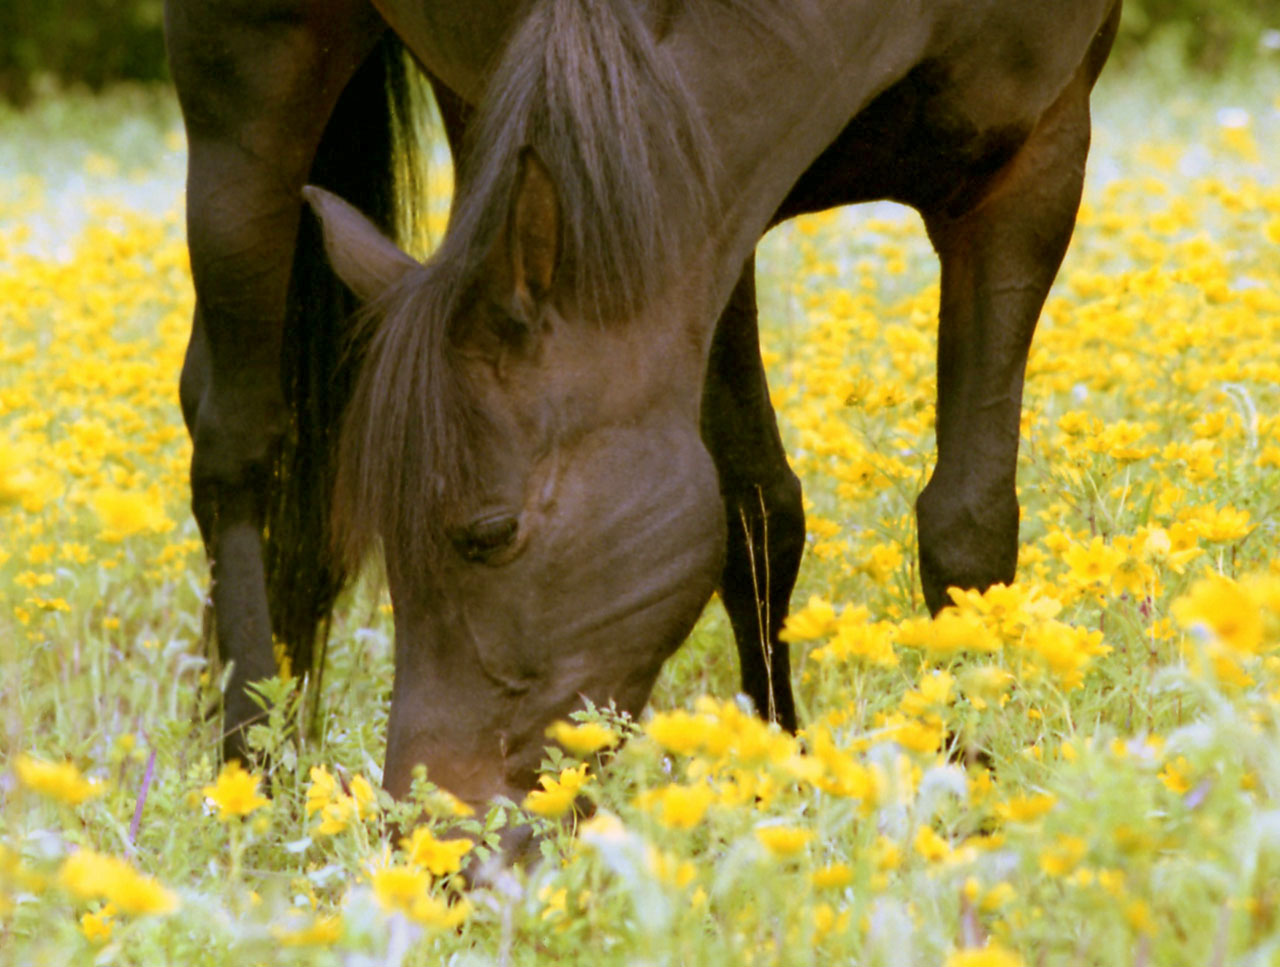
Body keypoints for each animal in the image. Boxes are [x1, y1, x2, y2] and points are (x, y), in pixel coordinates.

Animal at [167, 0, 1121, 814]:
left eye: (490, 532)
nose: (433, 827)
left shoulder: (1034, 165)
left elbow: (967, 526)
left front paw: (977, 784)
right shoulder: (701, 217)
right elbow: (758, 510)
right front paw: (771, 771)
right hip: (248, 77)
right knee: (234, 434)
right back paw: (251, 765)